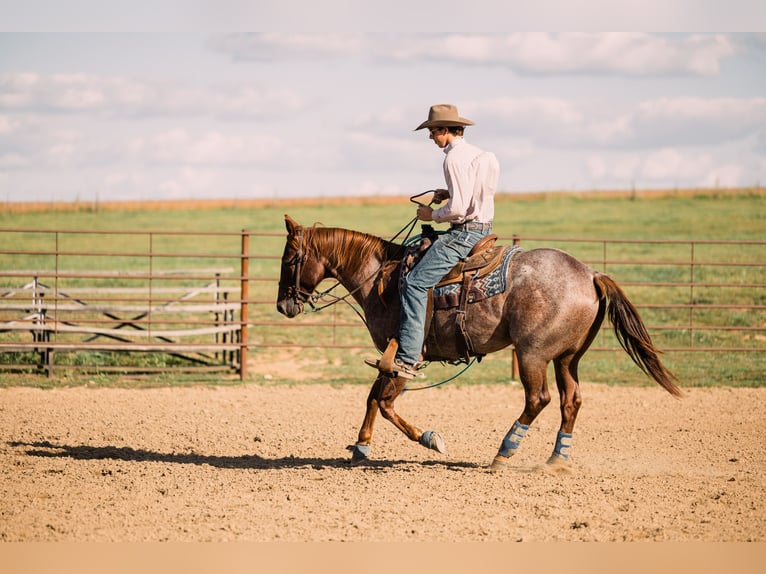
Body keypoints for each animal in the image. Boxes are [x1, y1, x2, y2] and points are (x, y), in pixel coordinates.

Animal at [278, 214, 684, 470]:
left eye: (291, 258)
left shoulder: (405, 353)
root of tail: (590, 274)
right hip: (567, 357)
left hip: (533, 354)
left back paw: (503, 454)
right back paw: (557, 460)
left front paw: (430, 439)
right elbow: (374, 398)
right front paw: (361, 447)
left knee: (538, 399)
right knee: (571, 400)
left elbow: (384, 401)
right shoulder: (395, 357)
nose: (284, 305)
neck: (382, 278)